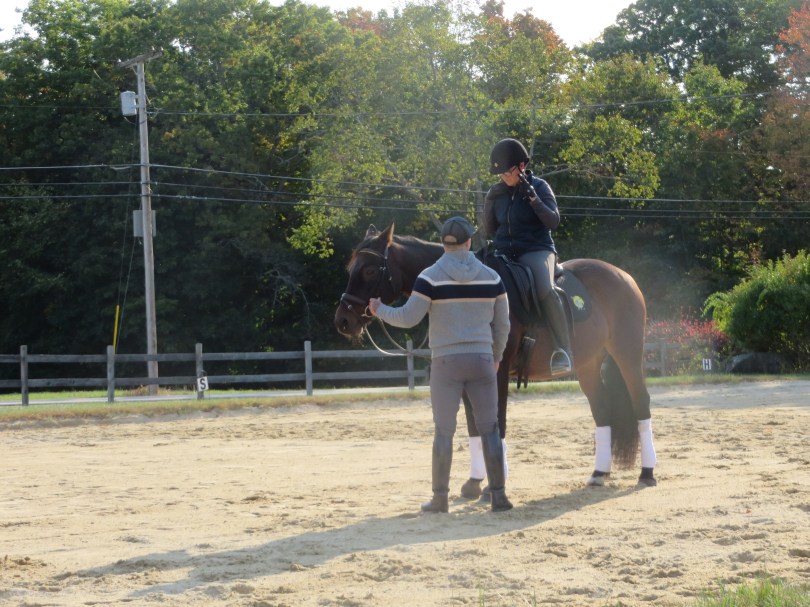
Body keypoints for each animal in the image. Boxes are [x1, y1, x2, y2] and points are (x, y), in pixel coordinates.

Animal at [334, 224, 657, 488]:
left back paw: (647, 473)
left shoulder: (497, 373)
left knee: (640, 403)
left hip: (627, 355)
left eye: (370, 270)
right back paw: (599, 473)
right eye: (350, 268)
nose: (343, 321)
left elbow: (495, 424)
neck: (462, 289)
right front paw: (476, 482)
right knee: (601, 409)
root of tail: (623, 276)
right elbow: (473, 426)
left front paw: (494, 483)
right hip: (589, 365)